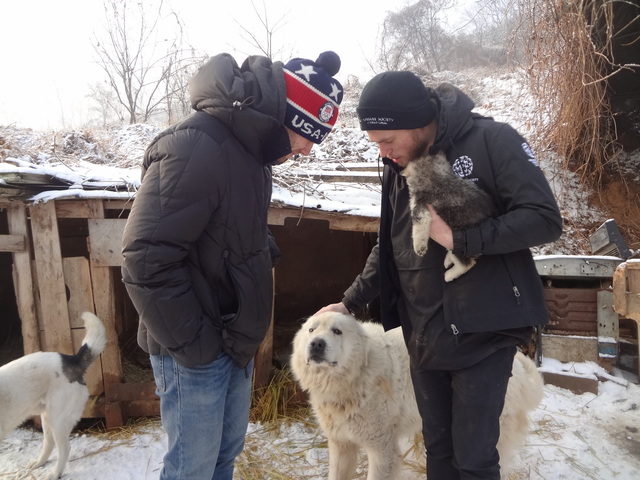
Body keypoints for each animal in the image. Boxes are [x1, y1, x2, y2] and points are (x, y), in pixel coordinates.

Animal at [0, 312, 106, 480]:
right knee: (49, 444)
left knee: (64, 448)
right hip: (47, 416)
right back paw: (39, 463)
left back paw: (55, 473)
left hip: (58, 419)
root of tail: (71, 360)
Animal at [292, 312, 544, 480]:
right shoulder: (341, 444)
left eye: (337, 331)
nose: (316, 344)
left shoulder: (381, 448)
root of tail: (518, 363)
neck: (355, 375)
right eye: (311, 330)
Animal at [402, 152, 498, 282]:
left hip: (459, 243)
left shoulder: (421, 208)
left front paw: (419, 248)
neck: (438, 180)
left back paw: (448, 275)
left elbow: (418, 230)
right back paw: (448, 261)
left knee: (466, 264)